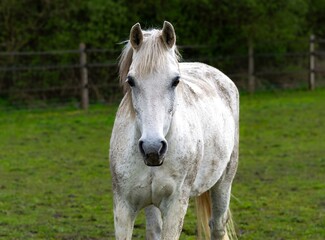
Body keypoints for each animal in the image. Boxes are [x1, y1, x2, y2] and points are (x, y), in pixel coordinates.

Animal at [109, 21, 238, 239]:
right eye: (131, 81)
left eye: (176, 81)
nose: (152, 148)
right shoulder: (123, 207)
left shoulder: (175, 206)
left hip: (224, 181)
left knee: (218, 226)